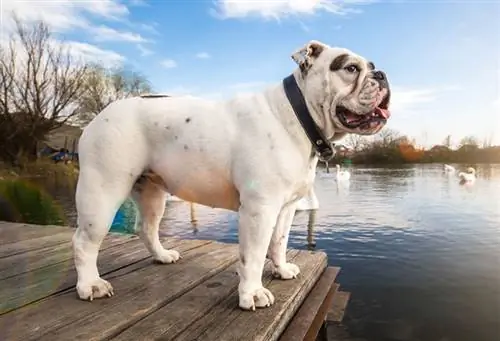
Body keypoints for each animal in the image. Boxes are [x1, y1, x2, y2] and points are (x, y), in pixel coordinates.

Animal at [72, 39, 390, 308]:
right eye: (350, 68)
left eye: (372, 66)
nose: (382, 74)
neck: (298, 115)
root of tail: (102, 114)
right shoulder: (260, 209)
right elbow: (253, 256)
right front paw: (253, 294)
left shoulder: (286, 208)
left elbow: (279, 242)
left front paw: (281, 269)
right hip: (103, 191)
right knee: (84, 241)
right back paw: (90, 285)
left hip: (151, 192)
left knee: (146, 228)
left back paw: (162, 256)